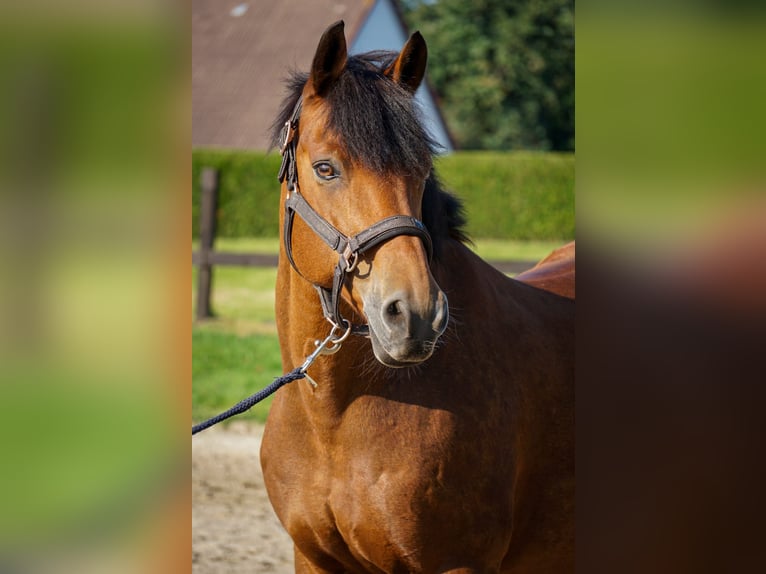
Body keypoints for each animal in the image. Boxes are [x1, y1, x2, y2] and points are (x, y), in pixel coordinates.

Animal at [260, 21, 574, 573]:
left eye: (422, 169)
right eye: (325, 169)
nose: (417, 314)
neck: (334, 420)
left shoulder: (457, 562)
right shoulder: (312, 557)